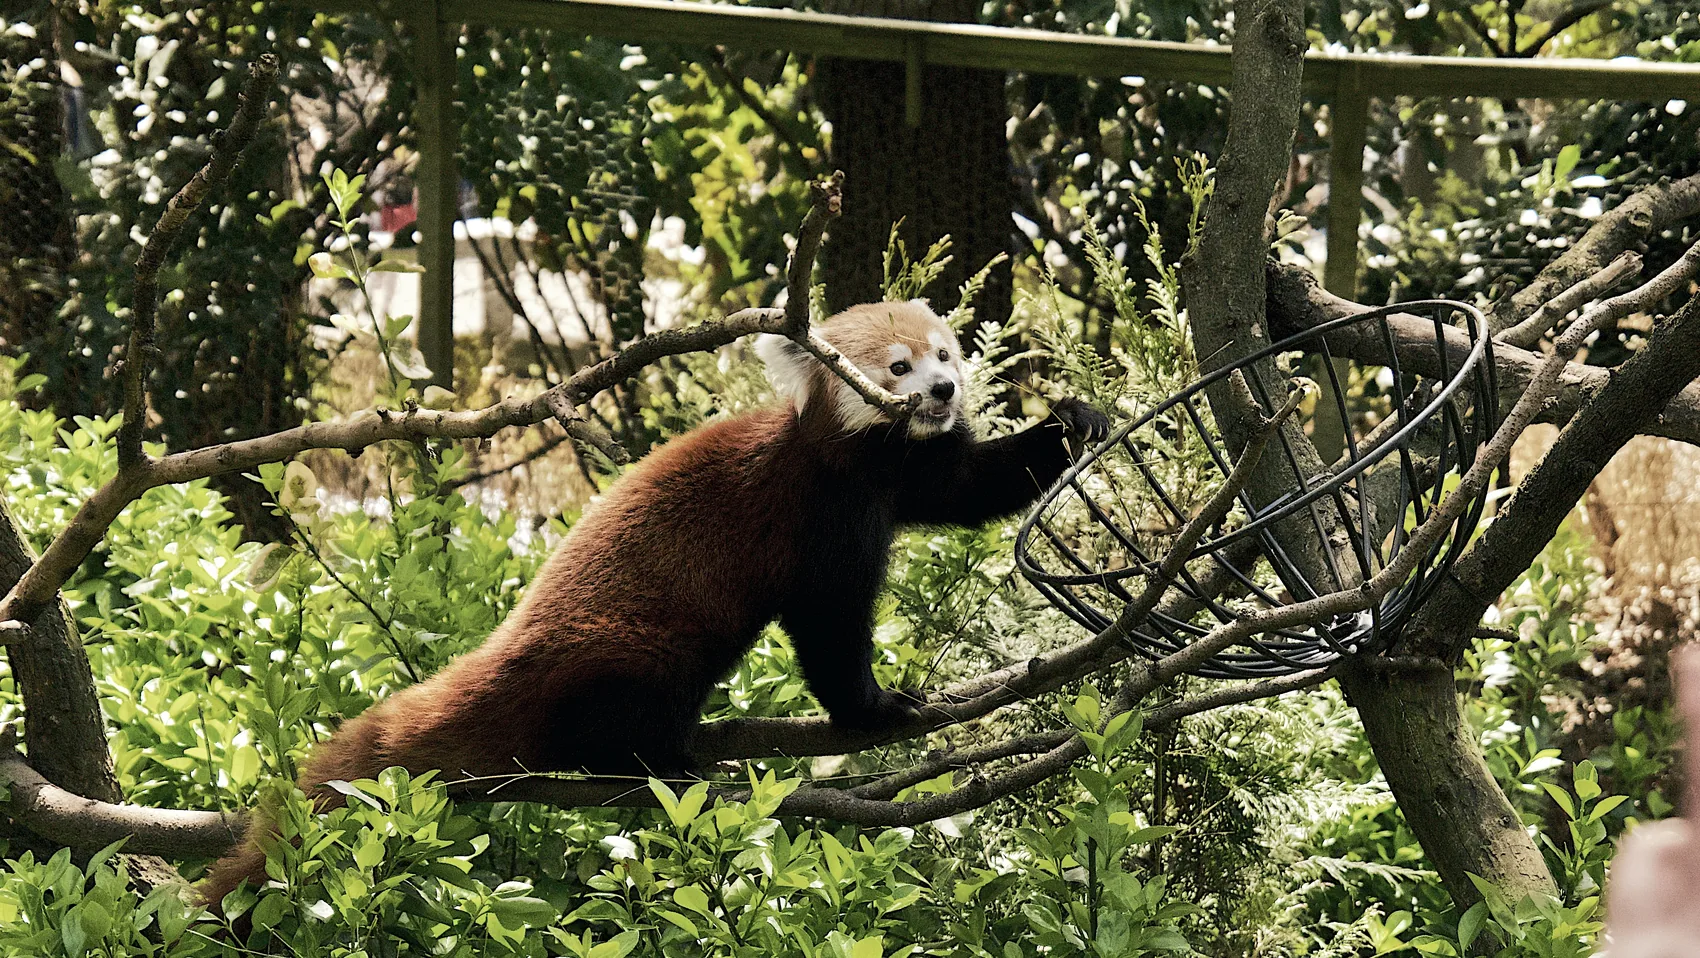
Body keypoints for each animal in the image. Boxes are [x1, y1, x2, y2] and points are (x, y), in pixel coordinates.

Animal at [199, 299, 1109, 903]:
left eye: (947, 353)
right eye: (897, 367)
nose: (945, 392)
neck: (864, 460)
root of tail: (510, 652)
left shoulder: (906, 476)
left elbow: (970, 484)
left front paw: (1069, 423)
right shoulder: (820, 510)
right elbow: (829, 624)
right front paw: (873, 707)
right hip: (630, 648)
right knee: (627, 708)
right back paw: (668, 761)